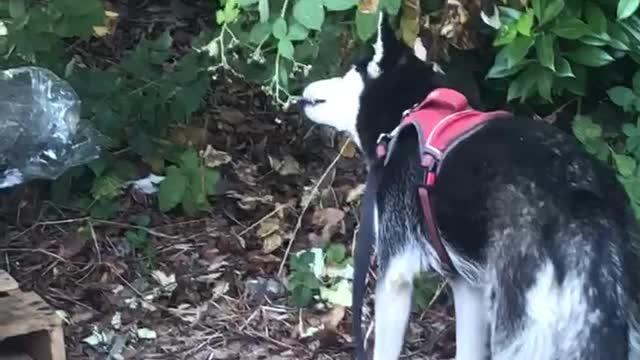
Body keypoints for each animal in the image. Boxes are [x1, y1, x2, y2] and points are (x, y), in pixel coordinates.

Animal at [298, 11, 640, 360]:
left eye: (352, 70)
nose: (304, 87)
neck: (411, 111)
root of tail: (586, 210)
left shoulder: (395, 273)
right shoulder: (467, 285)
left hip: (519, 336)